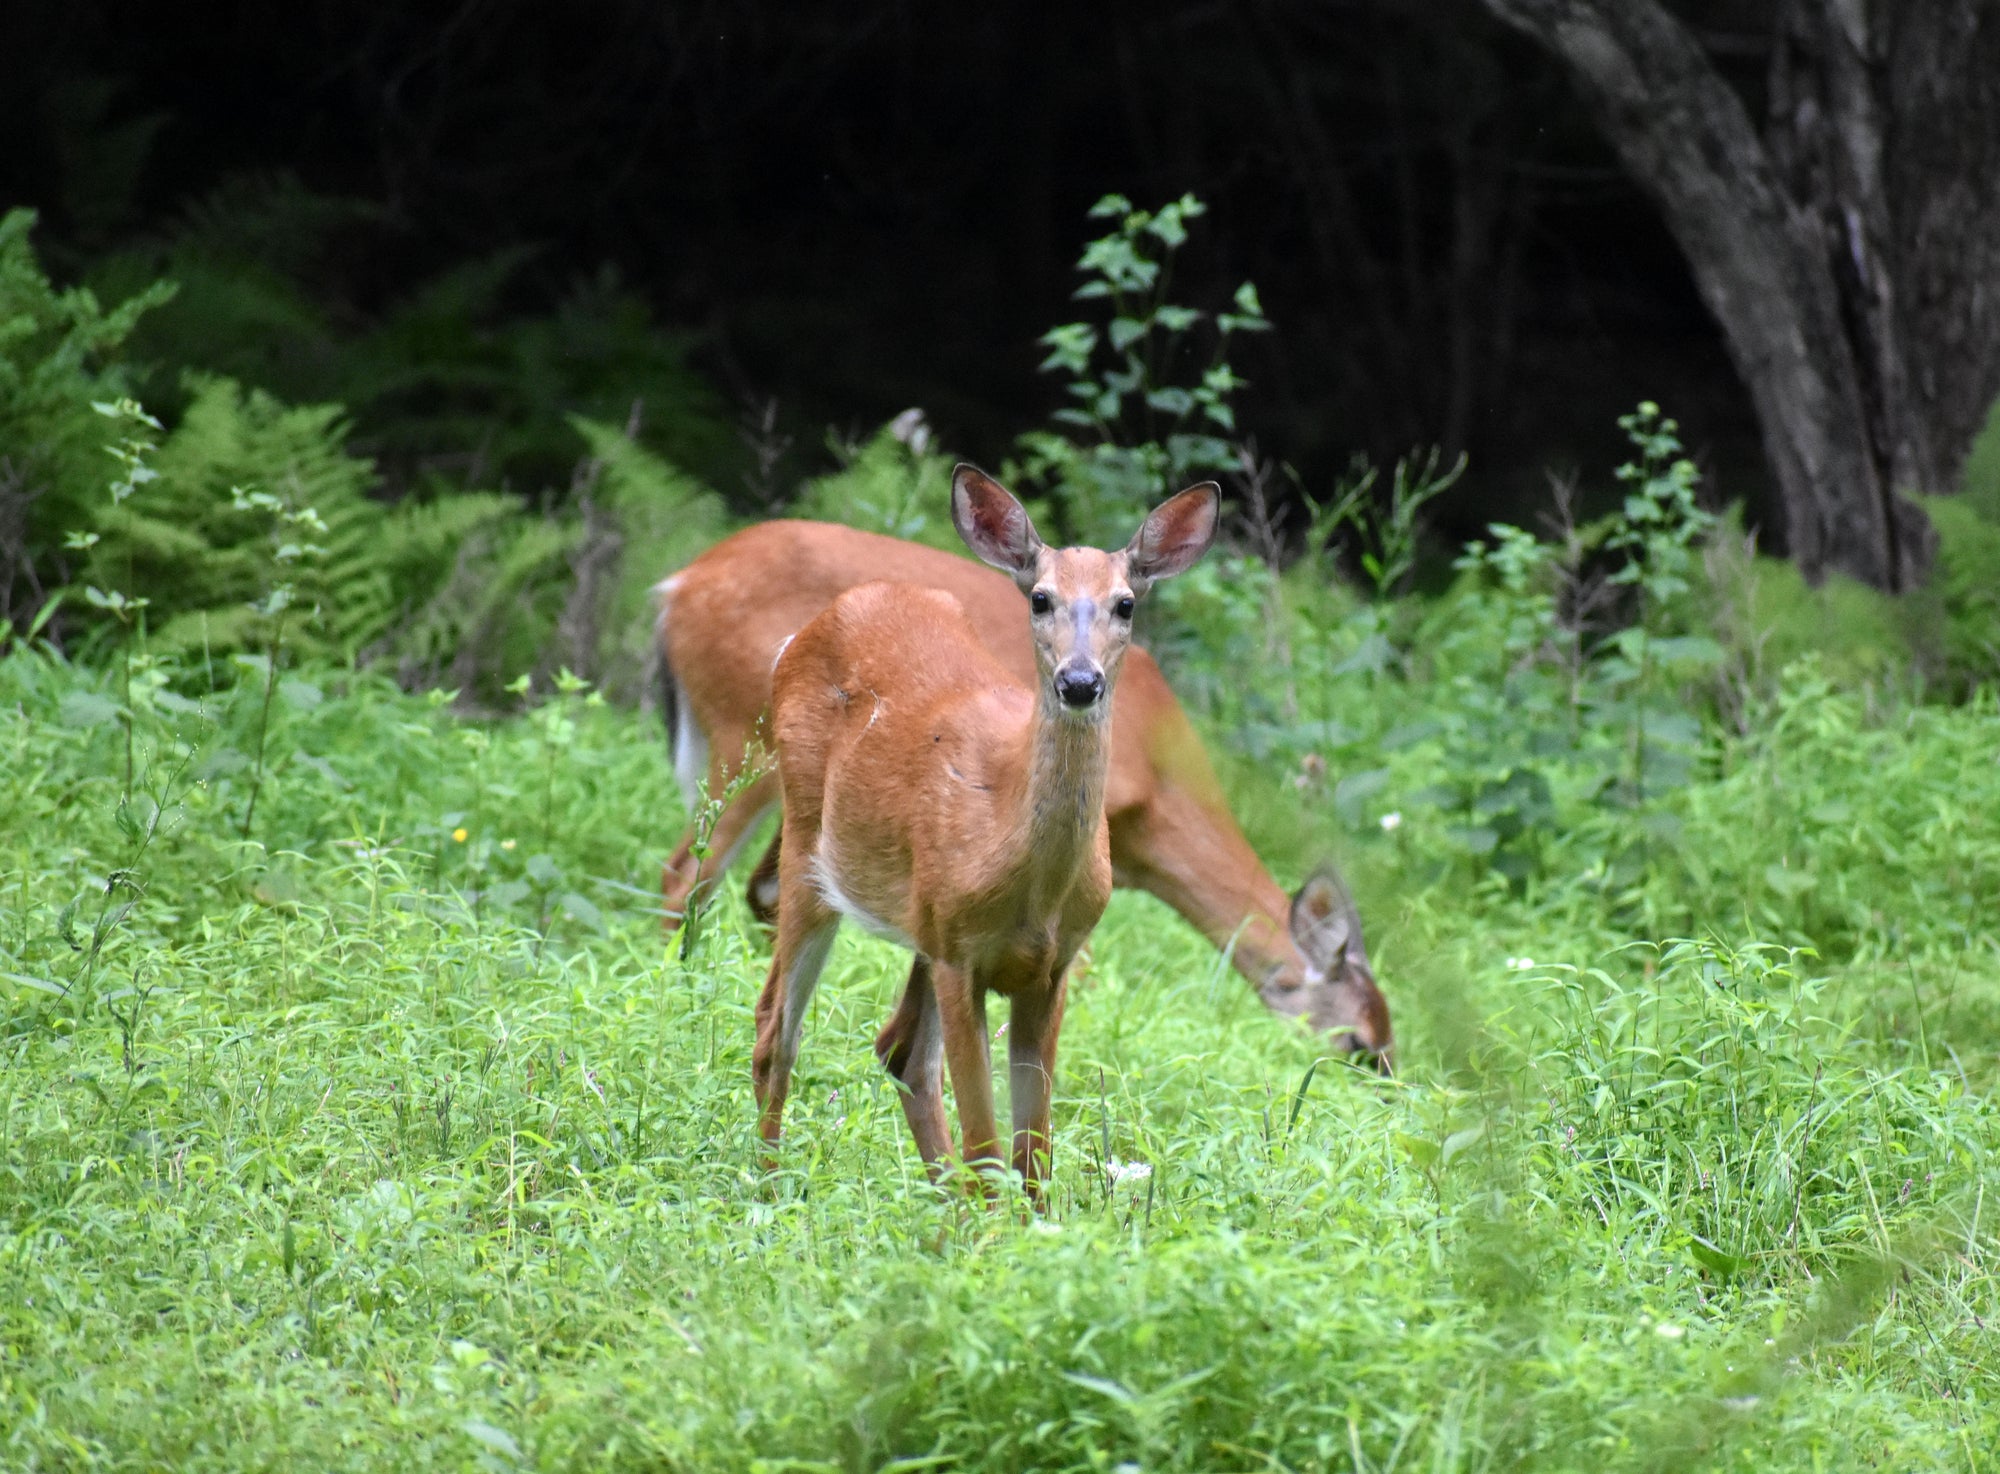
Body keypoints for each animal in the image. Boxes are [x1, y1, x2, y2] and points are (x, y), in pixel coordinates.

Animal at [652, 512, 1392, 1064]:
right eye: (1360, 1045)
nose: (1384, 1095)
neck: (1159, 792)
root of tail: (676, 586)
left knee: (753, 887)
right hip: (743, 734)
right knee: (686, 871)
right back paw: (676, 995)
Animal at [752, 466, 1216, 1192]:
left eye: (1125, 604)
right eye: (1040, 598)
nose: (1078, 682)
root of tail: (811, 627)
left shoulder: (1050, 968)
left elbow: (1034, 1154)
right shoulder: (958, 956)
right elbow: (987, 1143)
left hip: (920, 918)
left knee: (900, 1051)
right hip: (809, 850)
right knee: (777, 1029)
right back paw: (770, 1191)